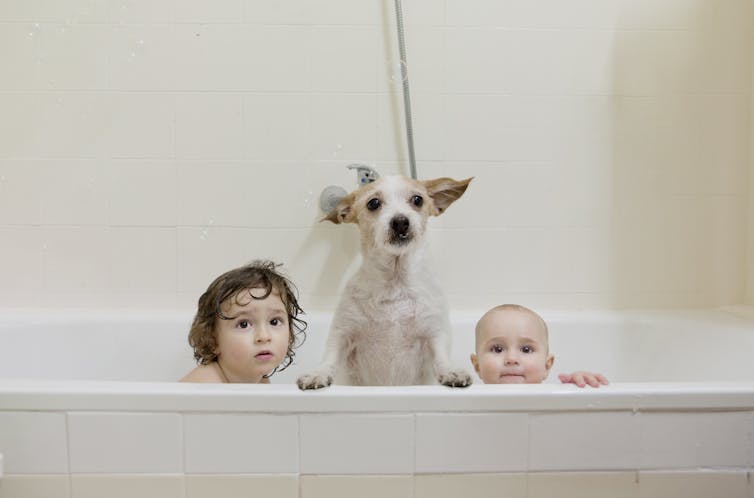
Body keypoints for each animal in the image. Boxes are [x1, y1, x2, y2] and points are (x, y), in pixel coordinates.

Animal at [294, 175, 470, 390]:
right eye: (373, 203)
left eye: (418, 200)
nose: (401, 221)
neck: (395, 284)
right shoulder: (343, 333)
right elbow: (329, 358)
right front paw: (318, 374)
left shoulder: (434, 333)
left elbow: (441, 358)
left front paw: (451, 371)